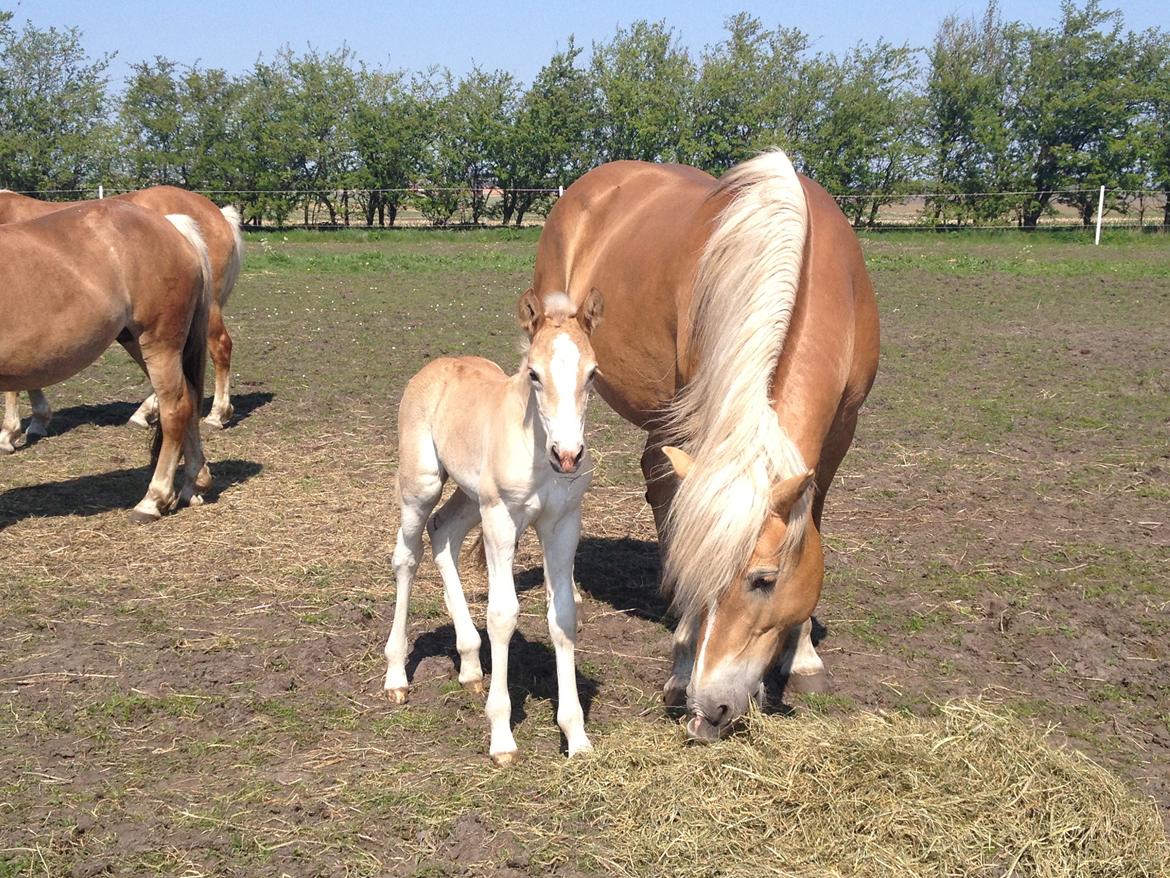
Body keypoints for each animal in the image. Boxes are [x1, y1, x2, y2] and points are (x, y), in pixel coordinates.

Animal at [0, 202, 212, 519]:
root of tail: (172, 226)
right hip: (139, 343)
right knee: (190, 399)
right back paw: (192, 485)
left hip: (160, 344)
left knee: (176, 409)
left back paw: (153, 499)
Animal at [383, 286, 603, 763]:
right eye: (535, 374)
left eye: (592, 374)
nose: (568, 456)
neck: (535, 449)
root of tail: (436, 366)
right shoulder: (501, 519)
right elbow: (503, 614)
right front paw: (502, 735)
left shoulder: (562, 523)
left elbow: (563, 614)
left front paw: (576, 737)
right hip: (423, 484)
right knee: (406, 556)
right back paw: (395, 677)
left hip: (470, 497)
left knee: (443, 533)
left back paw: (469, 663)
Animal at [531, 153, 879, 744]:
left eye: (764, 580)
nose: (708, 707)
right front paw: (680, 662)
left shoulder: (840, 434)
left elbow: (810, 525)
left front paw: (804, 657)